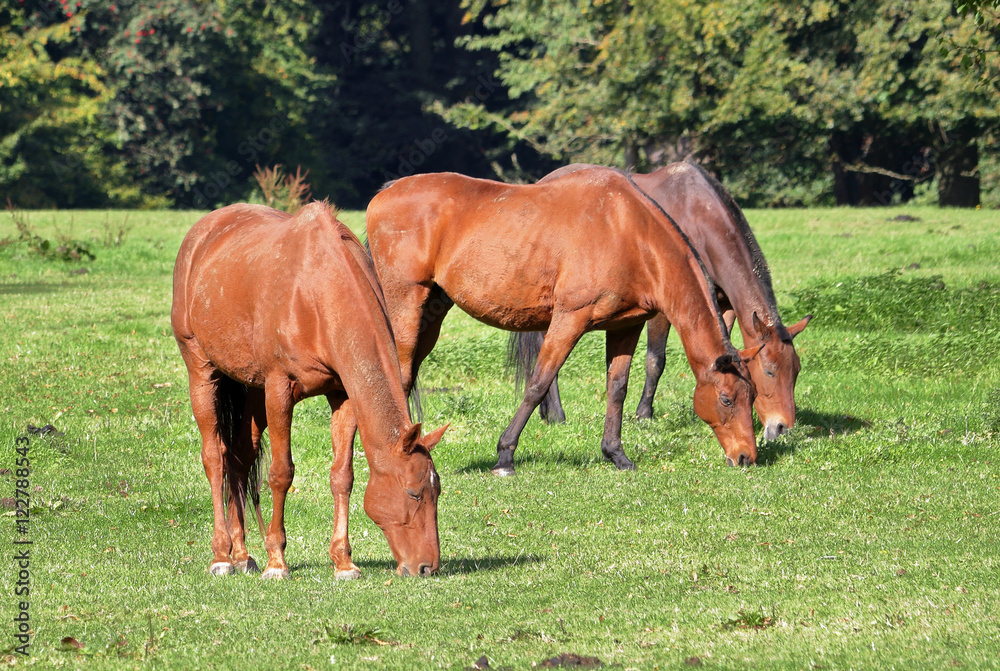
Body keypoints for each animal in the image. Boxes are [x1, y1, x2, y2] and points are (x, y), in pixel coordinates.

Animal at [171, 201, 447, 580]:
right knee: (215, 458)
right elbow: (281, 473)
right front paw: (276, 561)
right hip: (202, 369)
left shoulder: (343, 395)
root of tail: (201, 233)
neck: (316, 292)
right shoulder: (279, 389)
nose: (427, 567)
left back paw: (241, 554)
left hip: (251, 389)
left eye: (437, 492)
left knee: (240, 458)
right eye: (414, 493)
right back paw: (221, 556)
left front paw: (343, 561)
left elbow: (342, 476)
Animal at [365, 167, 760, 477]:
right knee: (398, 373)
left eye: (753, 396)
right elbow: (538, 382)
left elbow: (617, 388)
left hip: (431, 315)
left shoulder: (625, 327)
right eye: (726, 399)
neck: (627, 230)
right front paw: (505, 456)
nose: (746, 458)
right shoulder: (570, 319)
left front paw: (616, 454)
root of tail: (386, 191)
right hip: (405, 306)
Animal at [517, 161, 811, 441]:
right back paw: (556, 413)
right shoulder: (663, 309)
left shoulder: (722, 307)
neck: (698, 217)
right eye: (770, 371)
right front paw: (644, 413)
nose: (783, 428)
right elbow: (655, 360)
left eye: (796, 371)